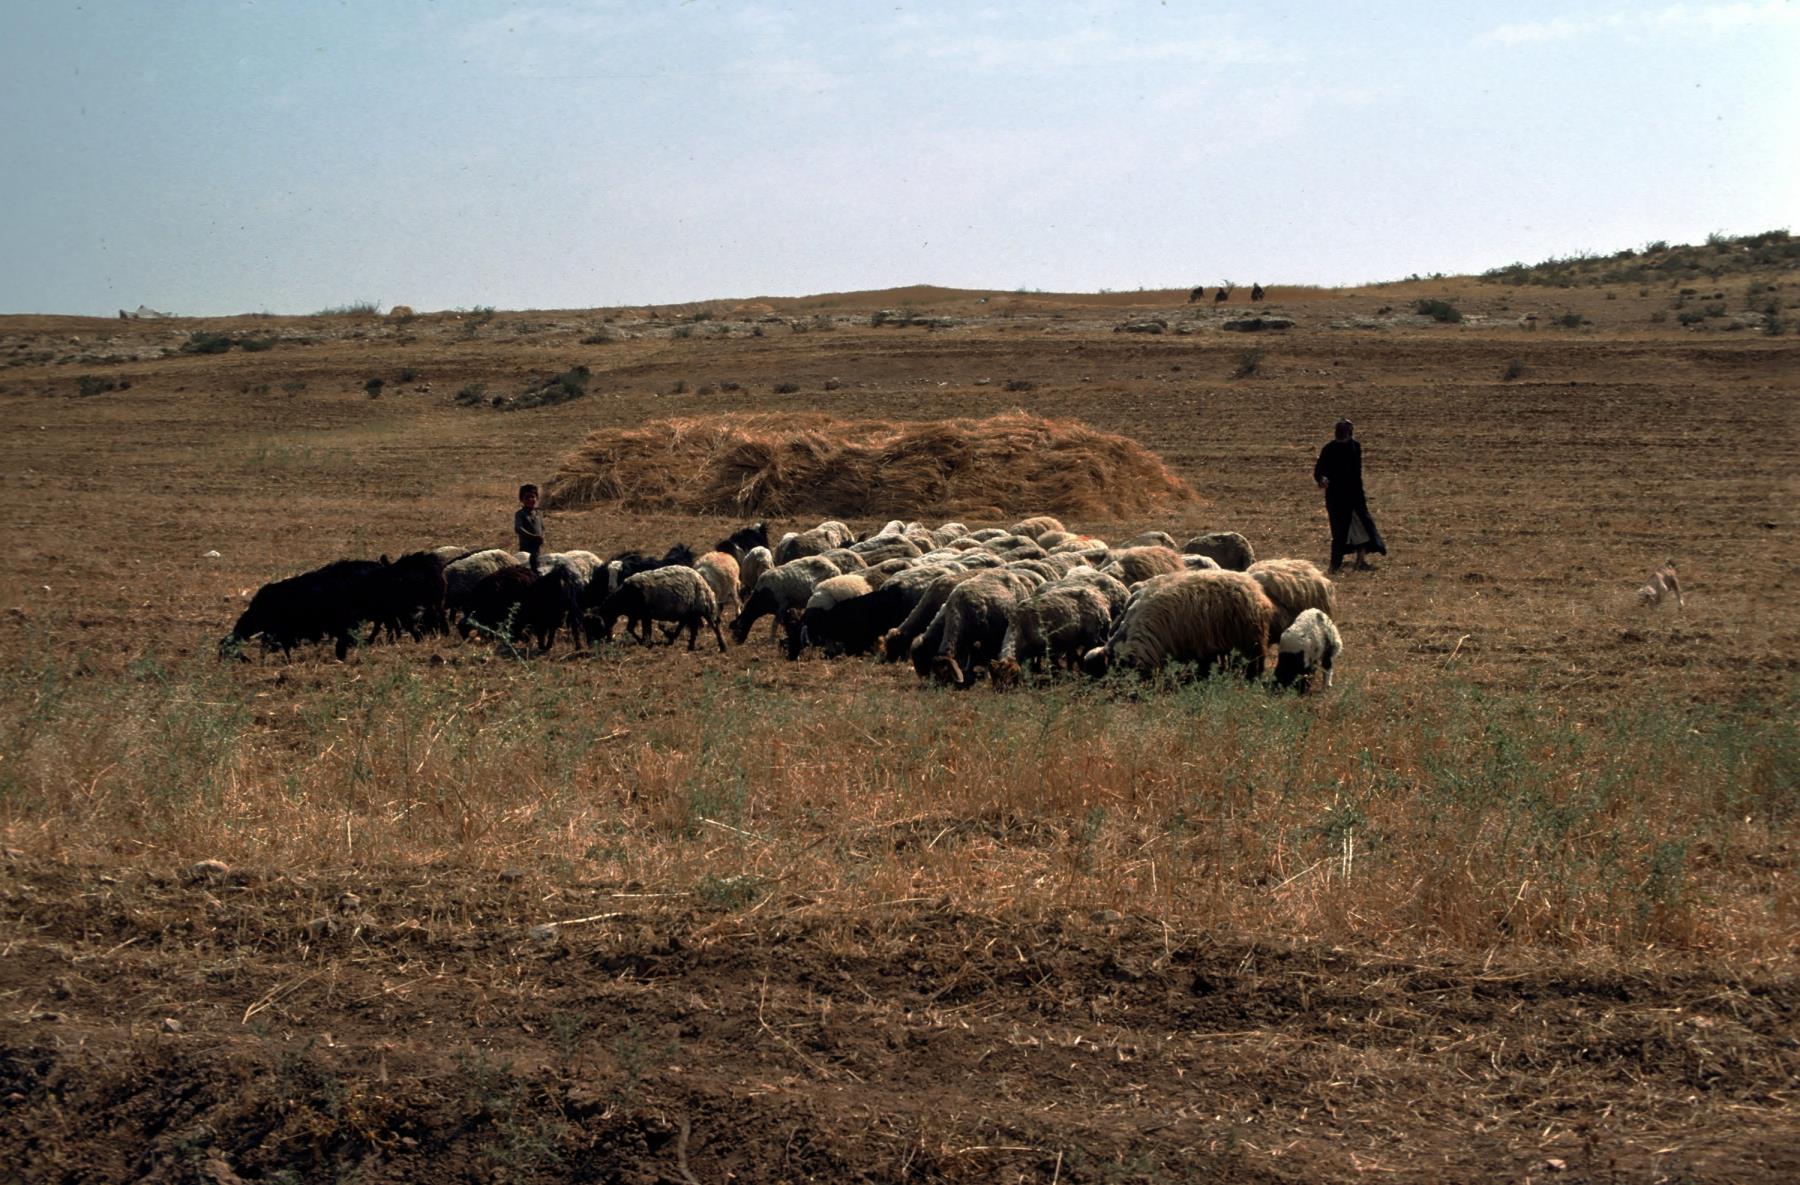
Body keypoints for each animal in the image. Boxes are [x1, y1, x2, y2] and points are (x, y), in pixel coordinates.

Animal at [593, 566, 725, 651]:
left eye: (601, 620)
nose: (605, 640)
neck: (623, 597)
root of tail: (700, 578)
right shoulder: (635, 615)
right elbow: (630, 628)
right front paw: (644, 642)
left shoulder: (644, 615)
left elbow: (645, 630)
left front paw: (645, 642)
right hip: (689, 611)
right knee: (689, 626)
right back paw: (683, 644)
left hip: (703, 607)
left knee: (714, 625)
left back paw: (722, 646)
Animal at [1083, 569, 1274, 680]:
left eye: (1101, 671)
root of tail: (1254, 586)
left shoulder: (1196, 644)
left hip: (1251, 636)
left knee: (1257, 659)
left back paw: (1253, 678)